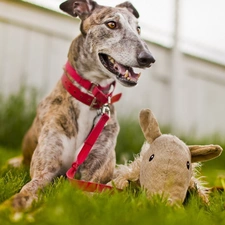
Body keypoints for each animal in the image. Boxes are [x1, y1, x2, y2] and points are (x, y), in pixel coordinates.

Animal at [6, 0, 155, 211]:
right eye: (111, 24)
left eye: (138, 28)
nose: (148, 58)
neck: (90, 98)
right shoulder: (44, 172)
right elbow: (27, 191)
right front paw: (13, 207)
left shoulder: (93, 177)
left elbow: (86, 196)